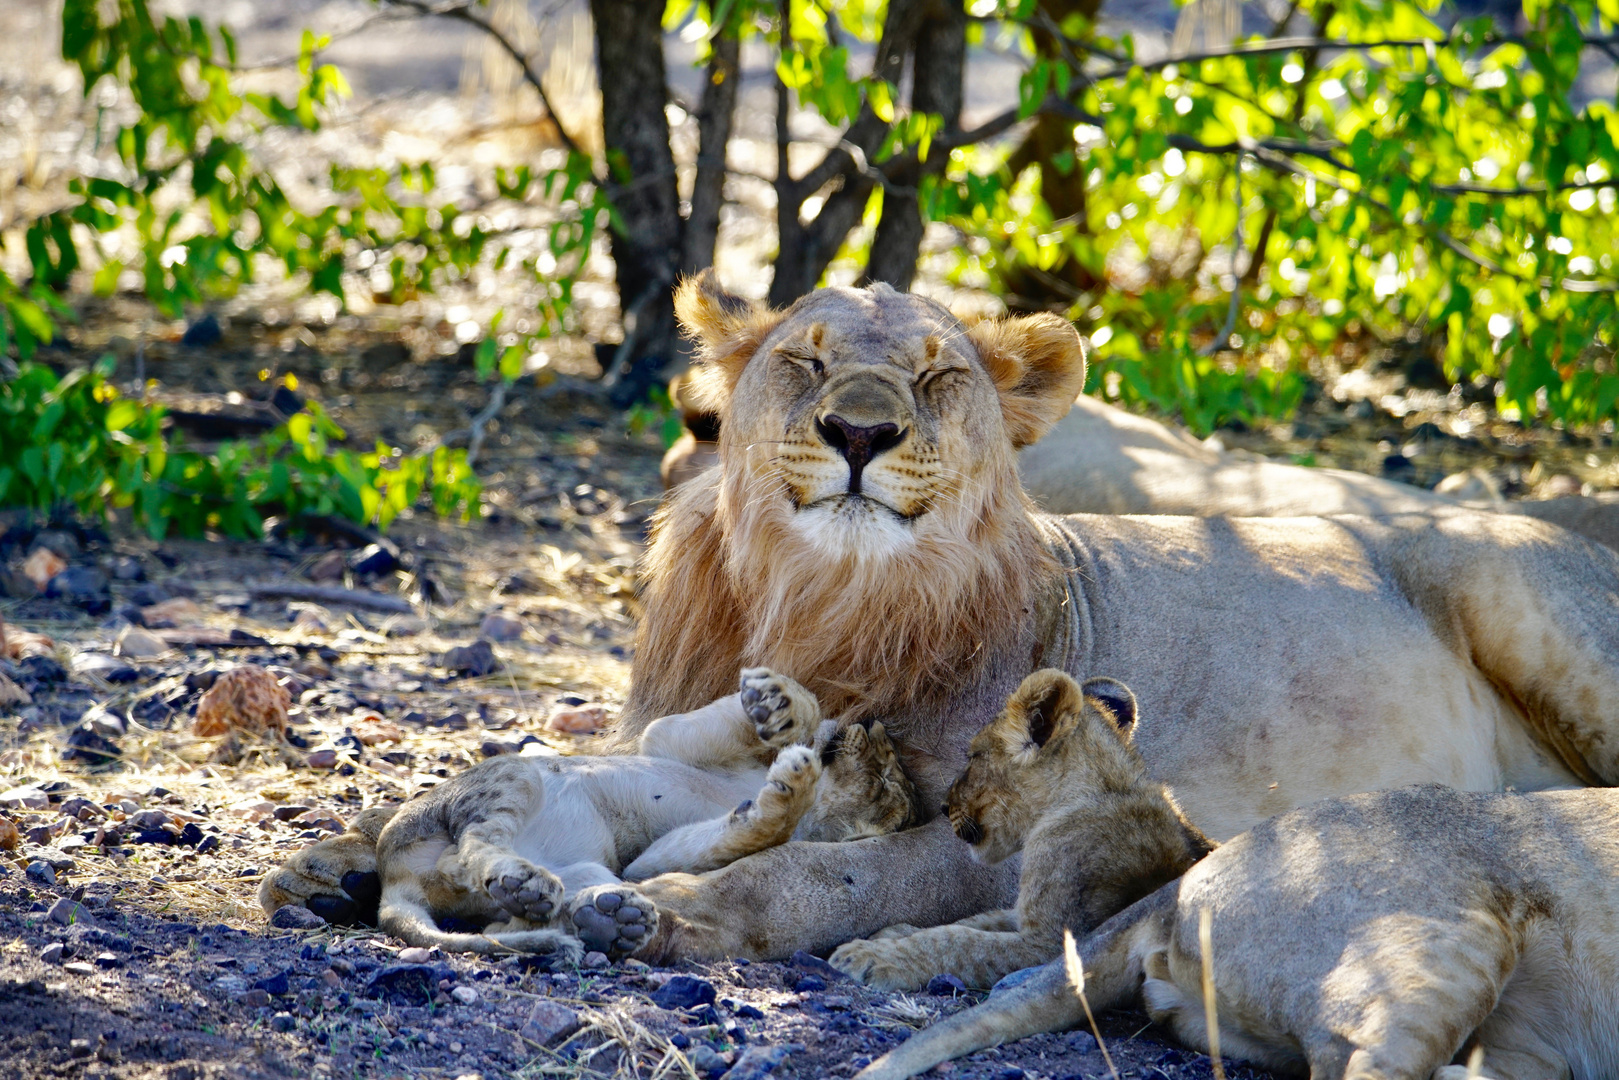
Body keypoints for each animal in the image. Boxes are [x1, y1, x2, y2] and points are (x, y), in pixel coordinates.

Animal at [259, 275, 1619, 965]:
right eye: (804, 363)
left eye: (936, 376)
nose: (860, 432)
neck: (825, 596)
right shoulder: (659, 722)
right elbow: (441, 798)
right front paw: (323, 865)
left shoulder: (994, 833)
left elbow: (832, 871)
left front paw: (686, 911)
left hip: (1509, 588)